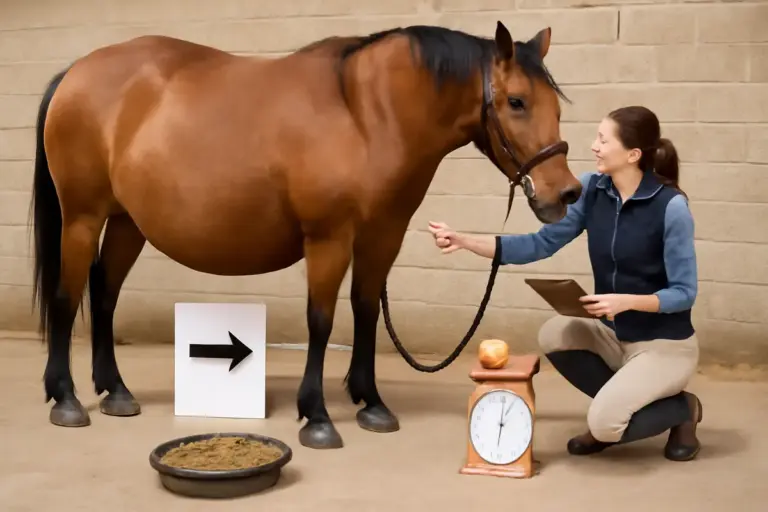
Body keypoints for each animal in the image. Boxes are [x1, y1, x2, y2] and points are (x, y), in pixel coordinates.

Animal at [30, 20, 581, 450]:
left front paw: (371, 402)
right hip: (82, 217)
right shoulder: (328, 238)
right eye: (516, 101)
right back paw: (66, 399)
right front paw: (316, 416)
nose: (566, 194)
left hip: (127, 222)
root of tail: (74, 73)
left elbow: (365, 311)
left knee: (104, 294)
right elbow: (321, 319)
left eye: (556, 105)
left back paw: (116, 392)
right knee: (67, 296)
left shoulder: (383, 236)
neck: (365, 113)